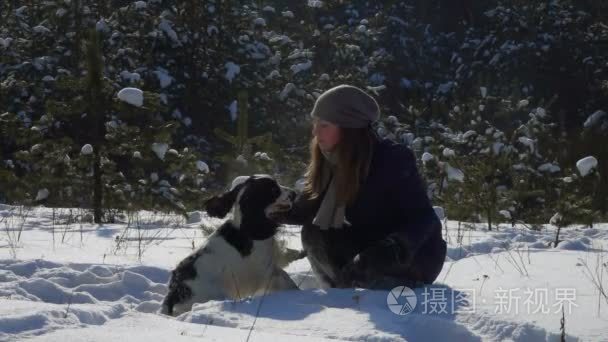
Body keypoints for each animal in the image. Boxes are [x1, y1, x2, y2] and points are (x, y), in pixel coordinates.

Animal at [160, 175, 300, 316]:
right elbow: (286, 281)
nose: (294, 193)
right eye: (273, 189)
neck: (247, 229)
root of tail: (173, 295)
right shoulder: (265, 271)